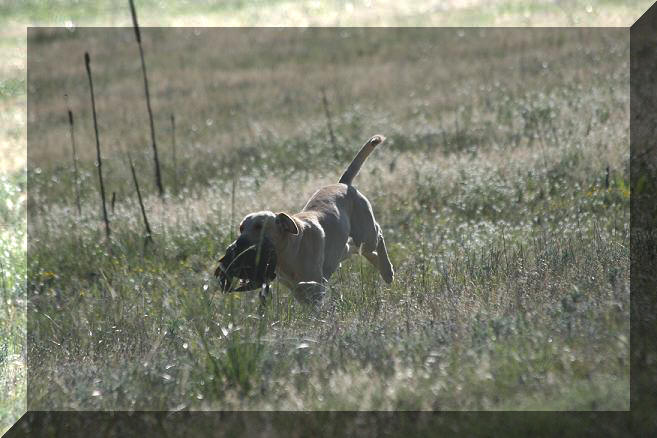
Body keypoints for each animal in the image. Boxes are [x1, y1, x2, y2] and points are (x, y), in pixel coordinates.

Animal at [215, 134, 392, 304]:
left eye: (259, 226)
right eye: (241, 228)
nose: (238, 244)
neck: (287, 253)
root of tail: (343, 184)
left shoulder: (315, 288)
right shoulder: (297, 290)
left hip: (366, 236)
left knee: (378, 235)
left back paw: (388, 271)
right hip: (347, 247)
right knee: (358, 249)